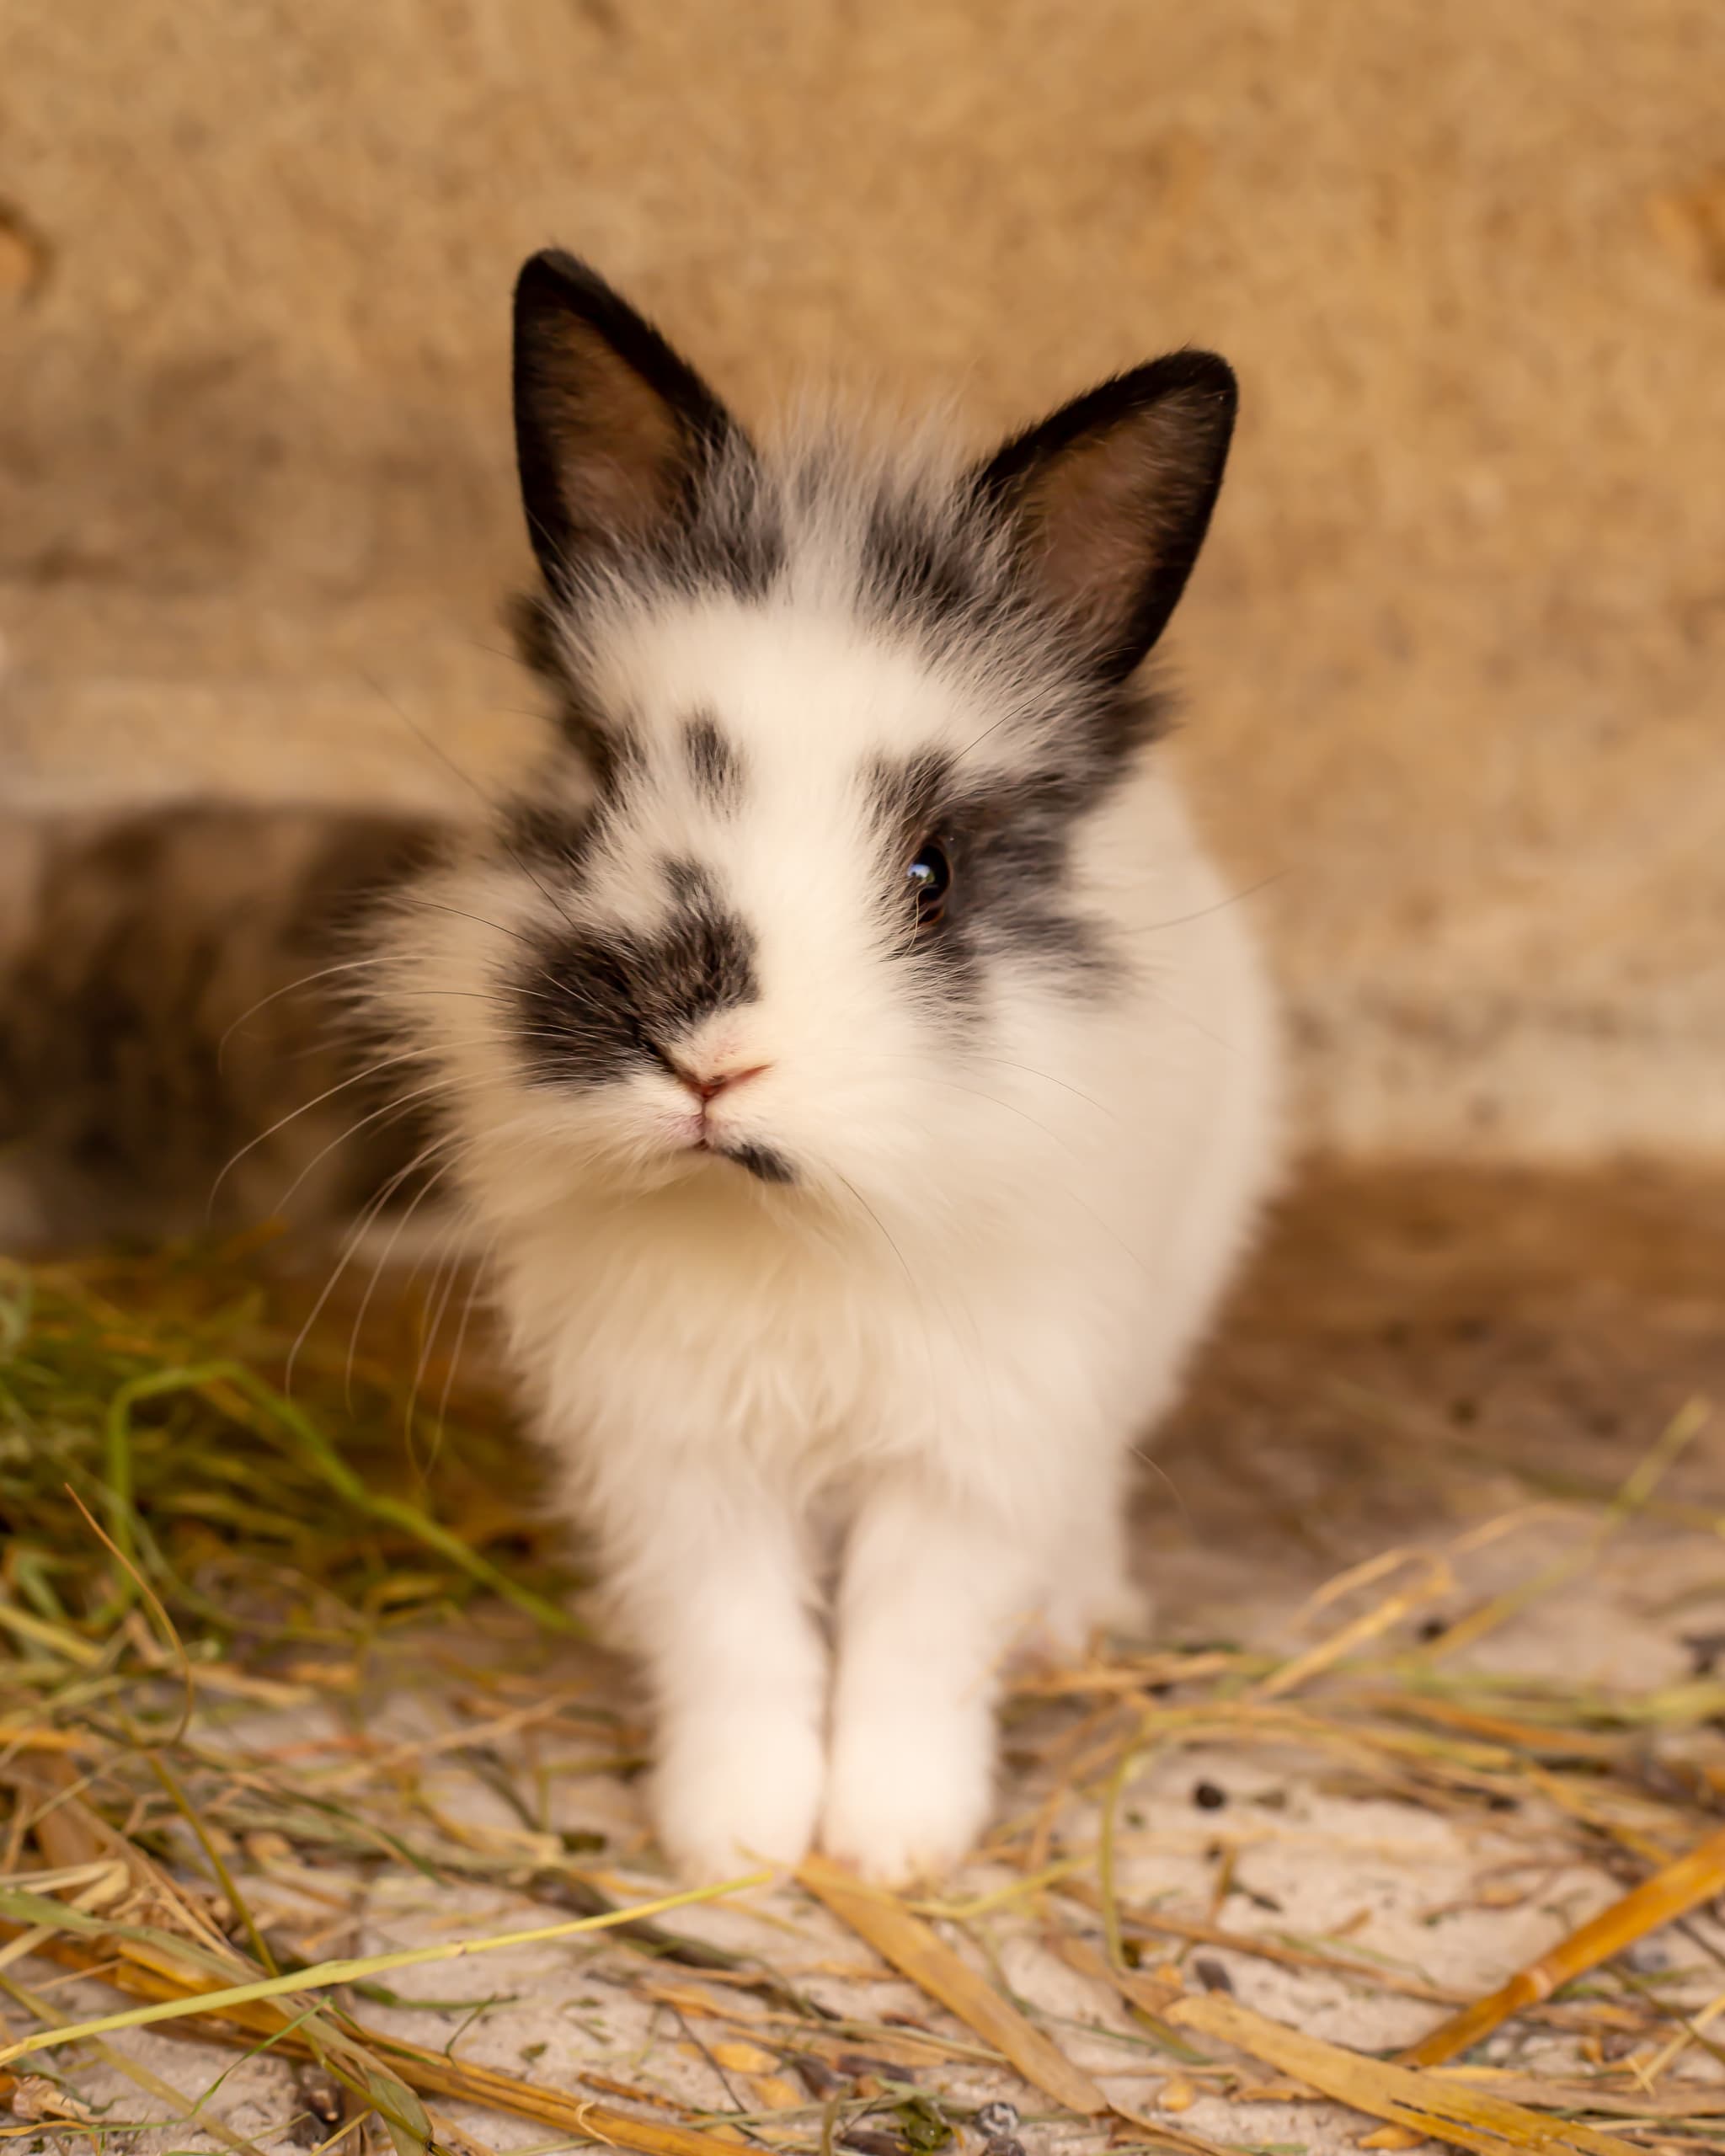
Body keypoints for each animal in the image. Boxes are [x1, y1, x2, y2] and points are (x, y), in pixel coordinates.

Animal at [367, 251, 1281, 1884]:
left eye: (932, 871)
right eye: (599, 791)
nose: (708, 1059)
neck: (784, 1224)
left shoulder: (979, 1432)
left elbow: (915, 1643)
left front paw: (892, 1844)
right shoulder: (673, 1445)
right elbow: (734, 1640)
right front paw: (735, 1837)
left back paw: (1073, 1617)